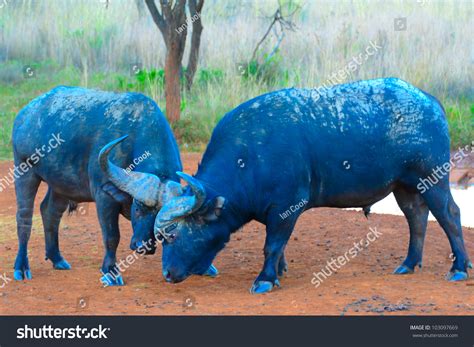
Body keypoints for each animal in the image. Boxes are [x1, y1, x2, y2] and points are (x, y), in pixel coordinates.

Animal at [152, 78, 470, 294]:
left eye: (172, 234)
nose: (166, 273)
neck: (249, 156)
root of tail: (430, 101)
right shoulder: (276, 212)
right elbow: (279, 246)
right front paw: (279, 271)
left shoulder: (286, 207)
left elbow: (272, 245)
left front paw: (265, 279)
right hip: (404, 186)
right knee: (417, 217)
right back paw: (409, 263)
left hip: (433, 179)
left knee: (450, 215)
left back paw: (459, 268)